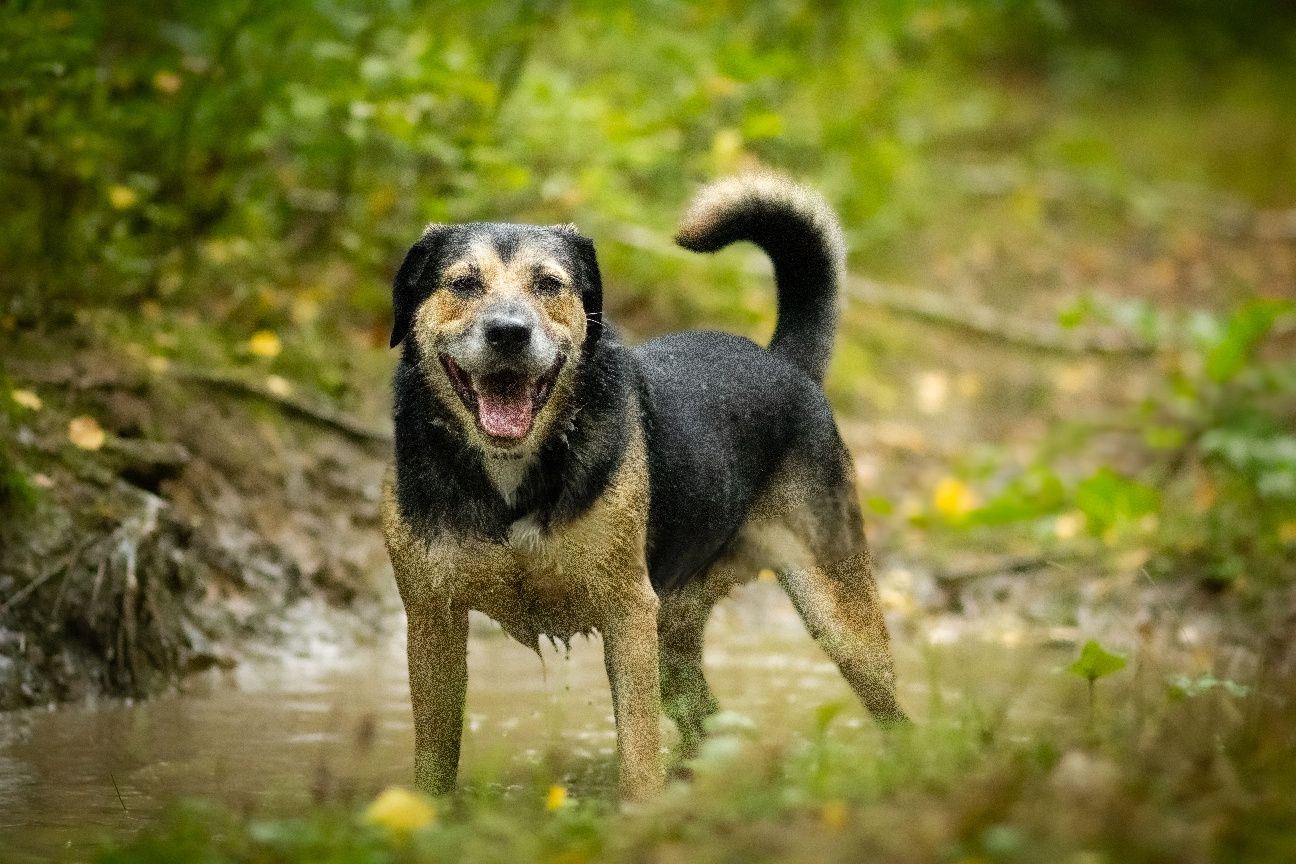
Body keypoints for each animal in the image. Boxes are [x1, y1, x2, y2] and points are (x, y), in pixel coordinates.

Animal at [378, 172, 907, 803]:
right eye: (463, 284)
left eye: (549, 284)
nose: (509, 333)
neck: (513, 472)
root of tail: (787, 364)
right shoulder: (430, 619)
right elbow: (433, 760)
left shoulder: (627, 612)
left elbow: (637, 750)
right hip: (675, 630)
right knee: (709, 720)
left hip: (837, 611)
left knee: (892, 709)